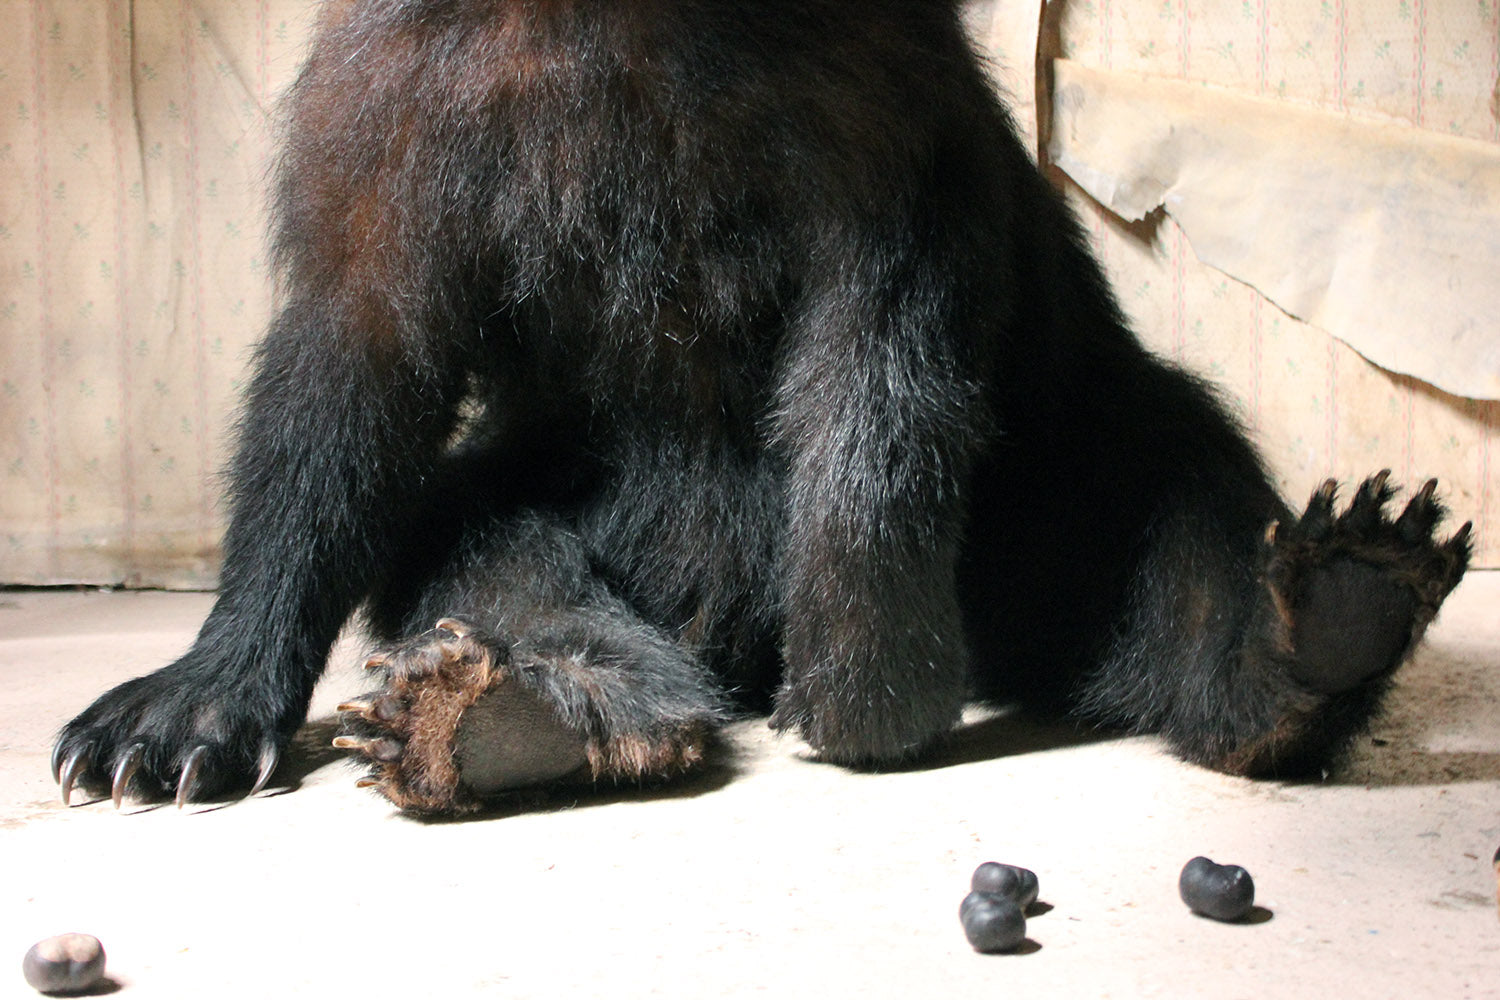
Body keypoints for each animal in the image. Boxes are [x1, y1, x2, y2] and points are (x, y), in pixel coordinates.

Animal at [53, 0, 1470, 814]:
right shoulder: (406, 97)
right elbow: (351, 363)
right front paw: (187, 707)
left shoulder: (866, 95)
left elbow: (883, 340)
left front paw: (863, 683)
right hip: (564, 492)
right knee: (471, 539)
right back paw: (530, 706)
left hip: (1046, 489)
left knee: (1177, 503)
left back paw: (1322, 621)